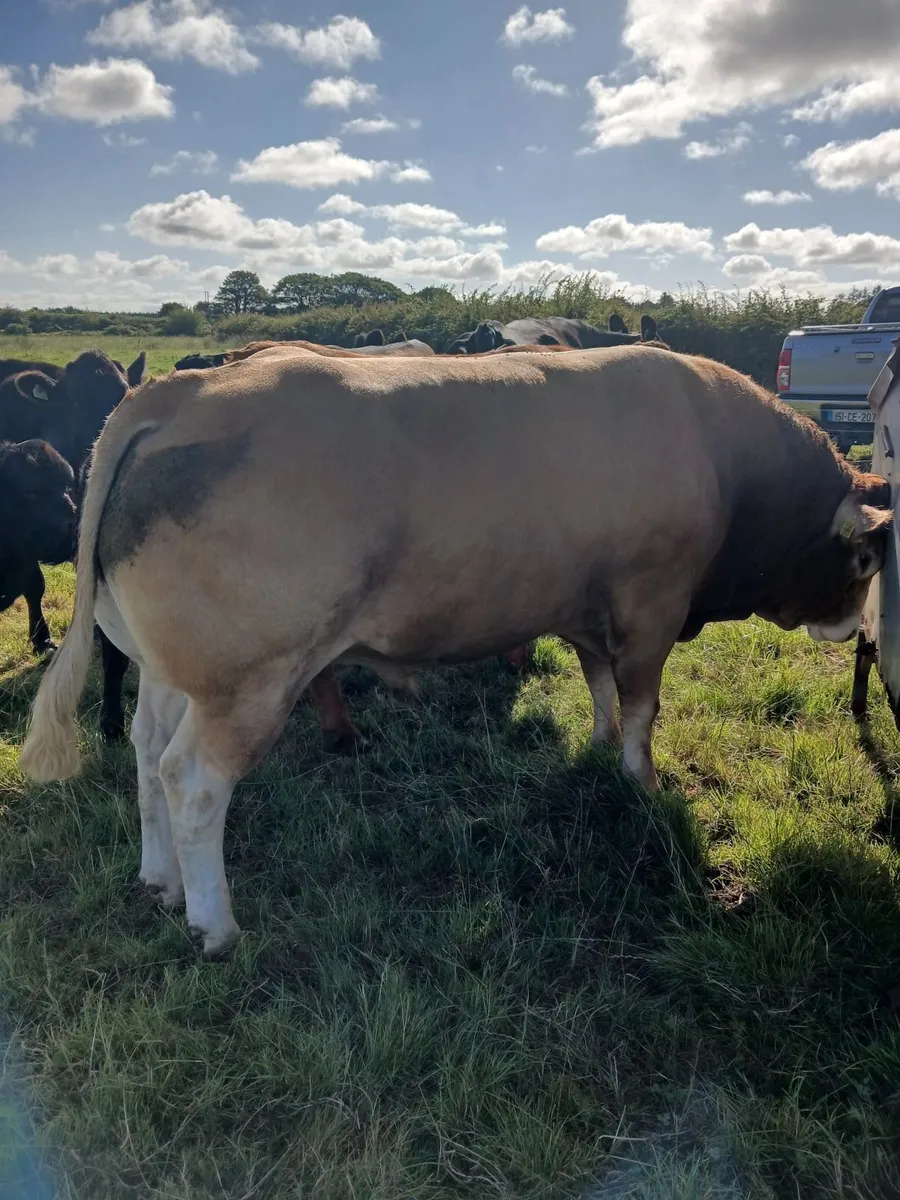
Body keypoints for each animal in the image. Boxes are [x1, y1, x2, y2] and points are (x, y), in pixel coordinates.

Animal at [20, 344, 891, 956]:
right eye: (863, 561)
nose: (856, 630)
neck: (724, 458)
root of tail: (180, 393)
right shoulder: (652, 602)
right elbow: (642, 702)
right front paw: (641, 781)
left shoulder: (586, 607)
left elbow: (599, 683)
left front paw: (599, 745)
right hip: (249, 680)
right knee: (193, 781)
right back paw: (215, 924)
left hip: (175, 672)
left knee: (146, 753)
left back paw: (160, 880)